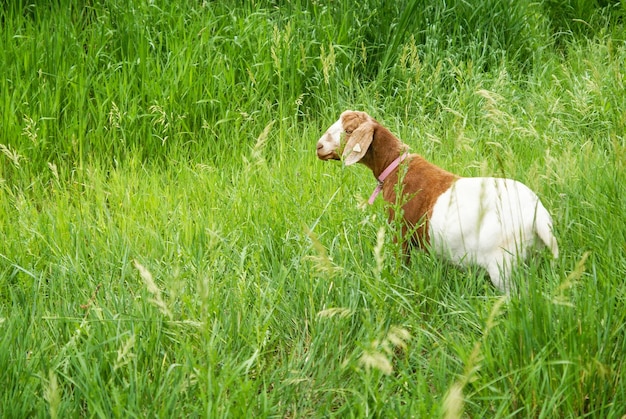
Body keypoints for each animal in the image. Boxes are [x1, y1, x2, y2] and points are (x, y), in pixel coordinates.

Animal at [314, 111, 560, 296]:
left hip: (503, 264)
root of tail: (538, 216)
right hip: (532, 257)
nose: (319, 147)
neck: (395, 167)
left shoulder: (400, 232)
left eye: (348, 131)